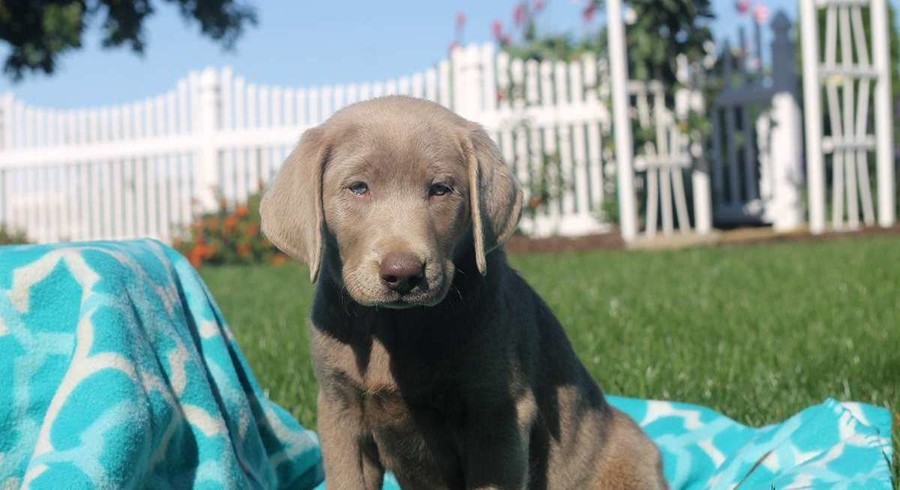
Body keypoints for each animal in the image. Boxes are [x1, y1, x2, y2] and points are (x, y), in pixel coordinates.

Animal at [256, 96, 664, 490]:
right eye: (358, 188)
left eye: (441, 189)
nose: (403, 275)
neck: (398, 327)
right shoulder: (340, 410)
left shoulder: (497, 414)